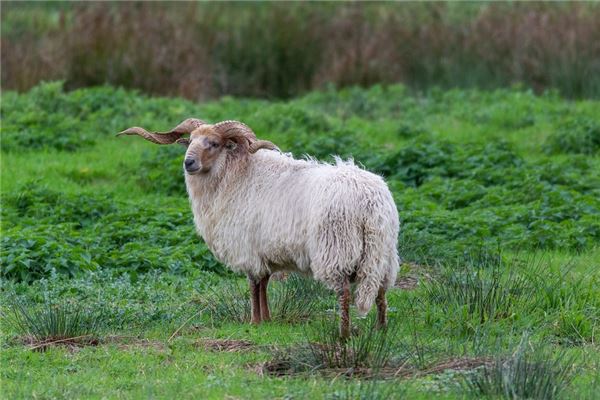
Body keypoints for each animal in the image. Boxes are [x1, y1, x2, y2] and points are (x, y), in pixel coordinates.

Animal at [118, 119, 400, 338]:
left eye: (214, 143)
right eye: (190, 141)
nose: (189, 163)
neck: (237, 174)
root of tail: (370, 201)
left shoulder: (247, 249)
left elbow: (254, 285)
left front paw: (254, 321)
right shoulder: (264, 250)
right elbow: (264, 283)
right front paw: (267, 319)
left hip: (336, 249)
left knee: (344, 292)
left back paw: (343, 333)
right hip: (382, 253)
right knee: (381, 291)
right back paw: (381, 329)